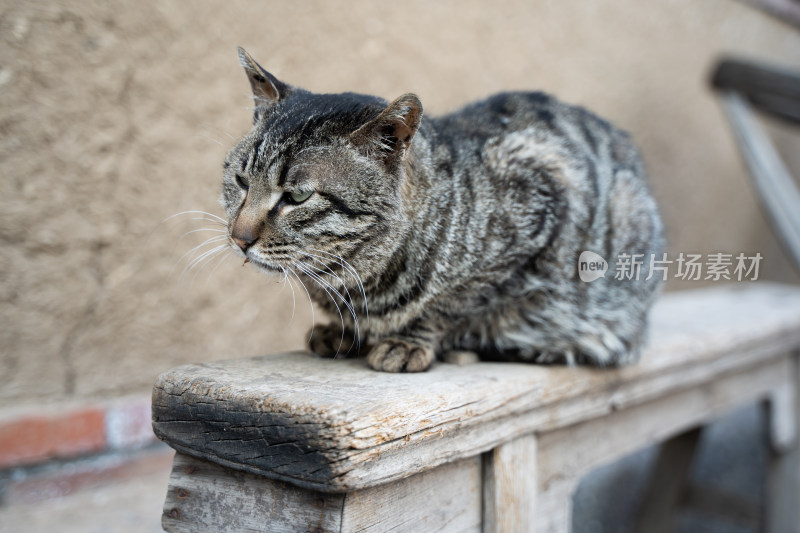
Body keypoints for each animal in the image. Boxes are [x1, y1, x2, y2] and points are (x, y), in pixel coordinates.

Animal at [219, 48, 664, 374]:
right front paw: (343, 331)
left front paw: (409, 340)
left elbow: (452, 303)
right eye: (241, 181)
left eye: (297, 197)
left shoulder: (540, 206)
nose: (239, 238)